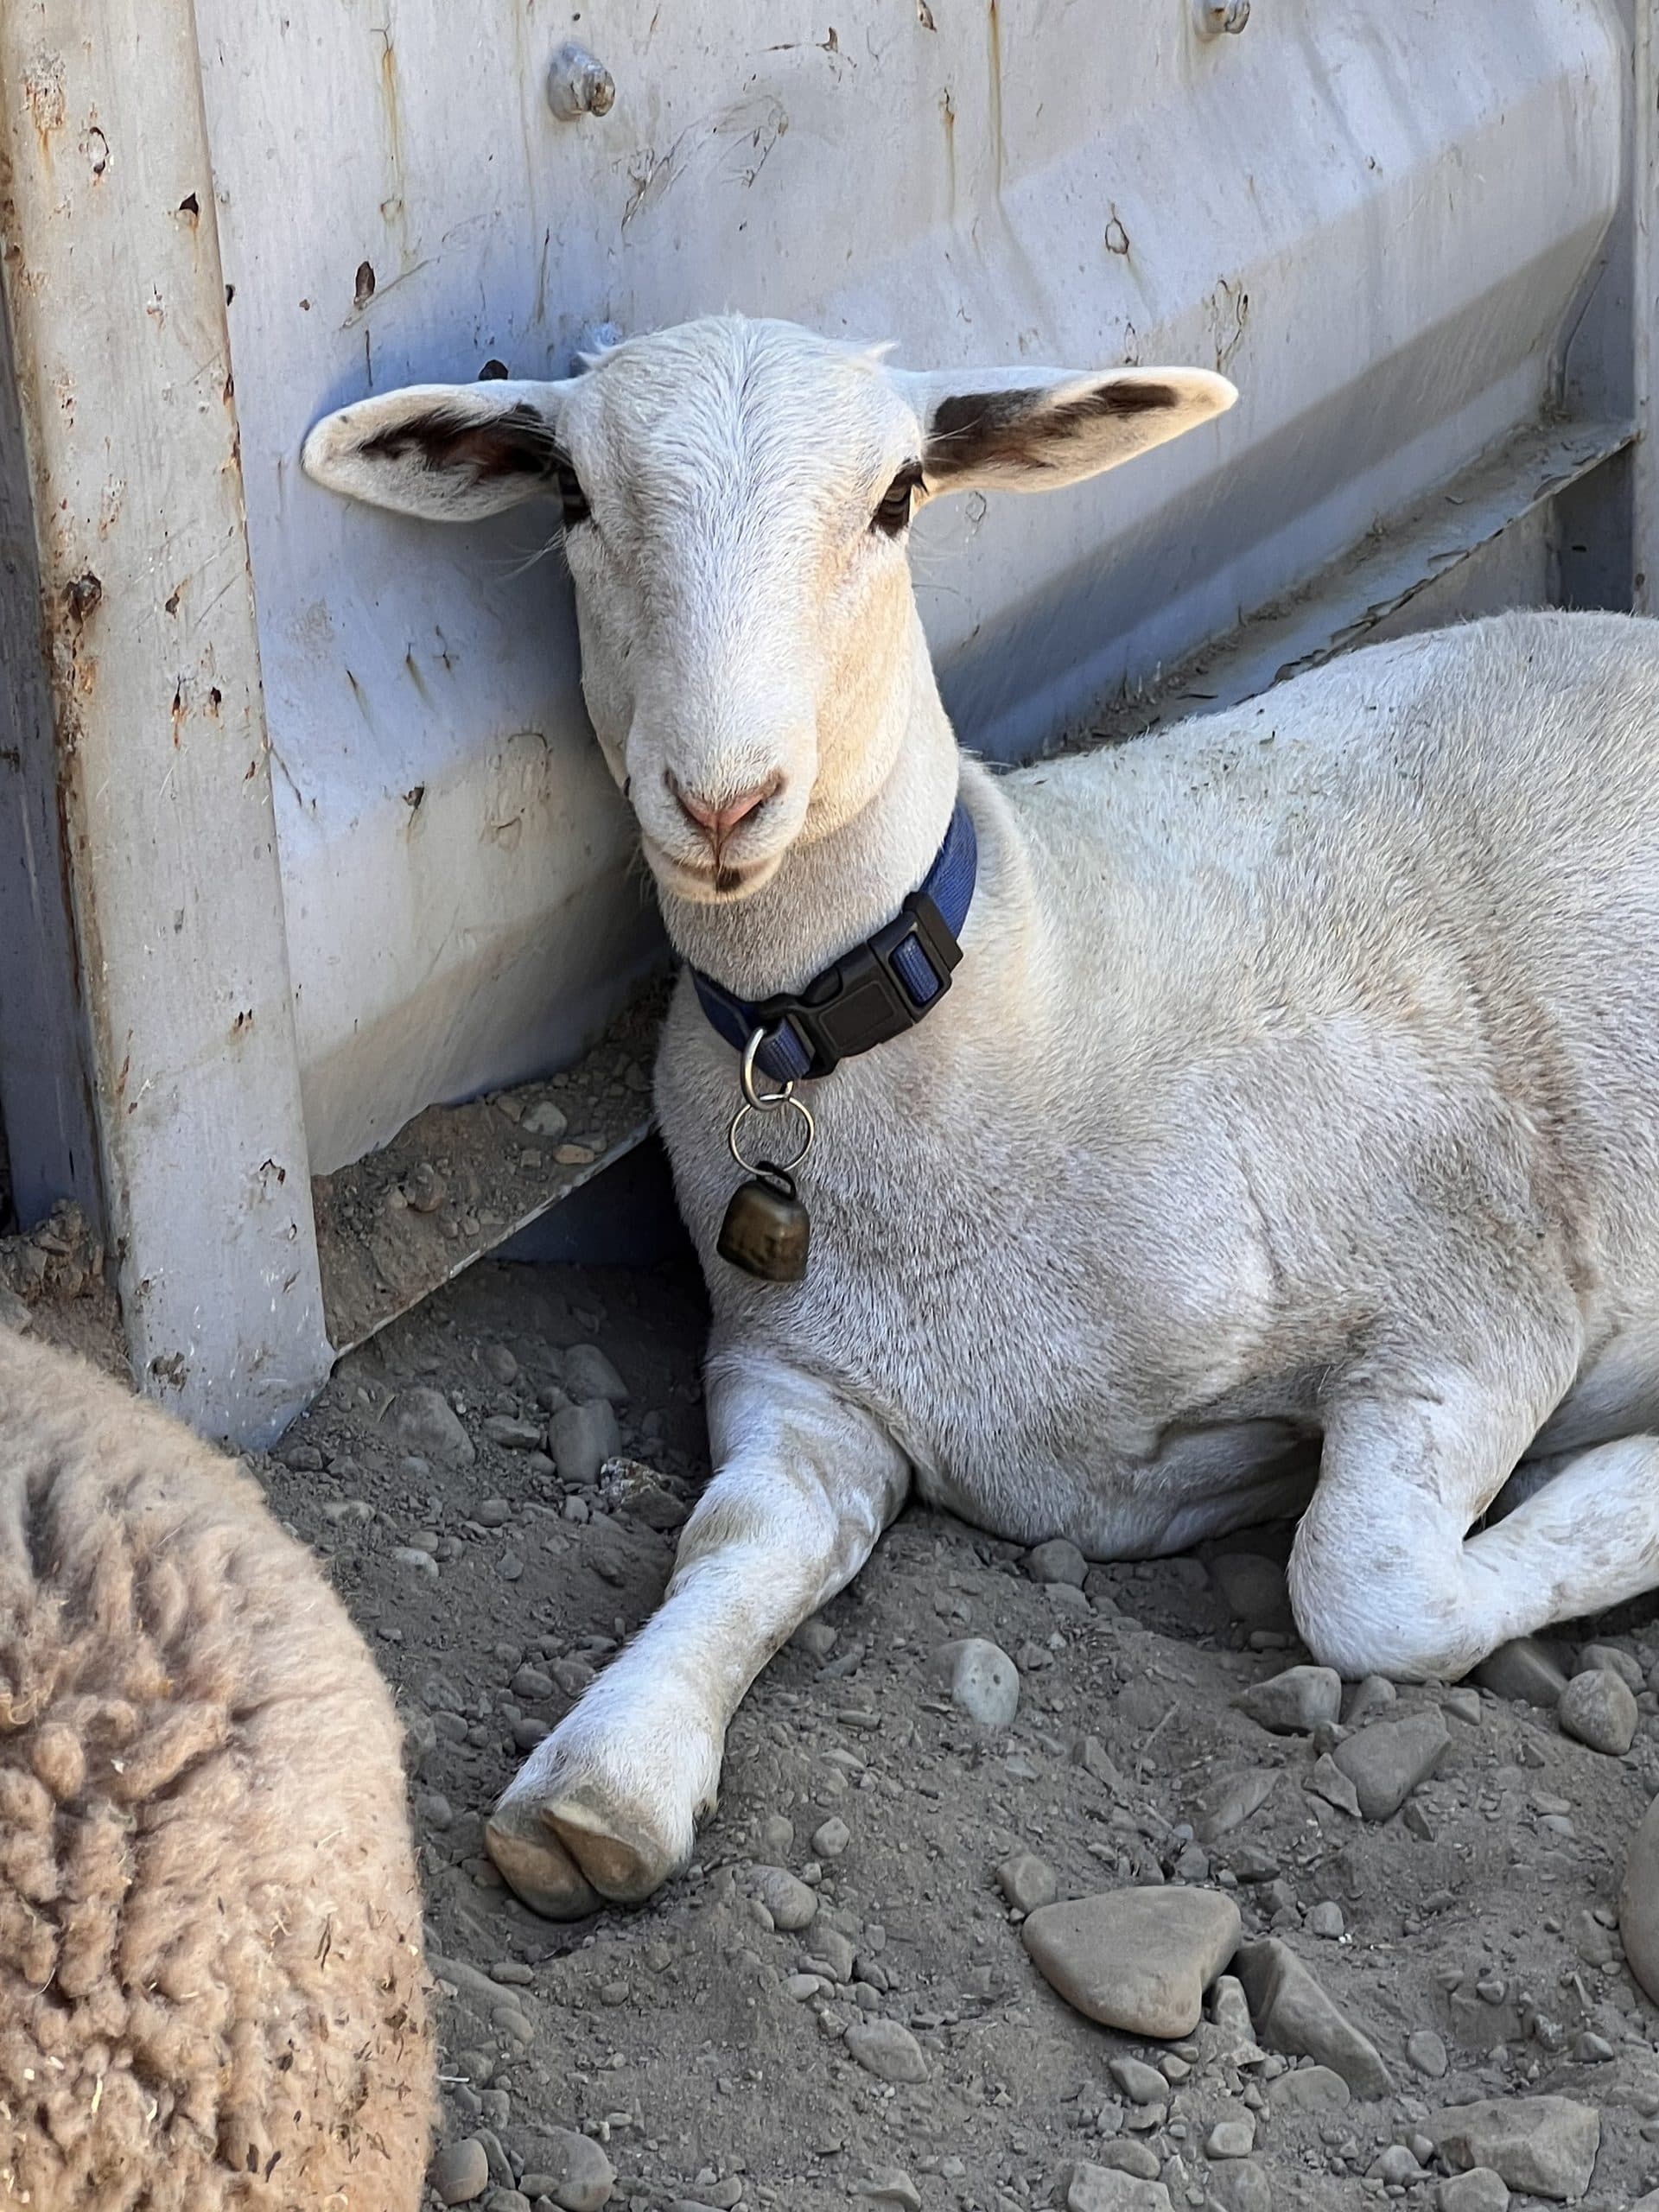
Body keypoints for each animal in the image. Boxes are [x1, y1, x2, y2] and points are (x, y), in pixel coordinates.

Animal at [304, 313, 1659, 1920]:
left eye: (898, 499)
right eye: (571, 494)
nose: (723, 798)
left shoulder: (1478, 1294)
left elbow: (1365, 1592)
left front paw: (1626, 1485)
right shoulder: (795, 1381)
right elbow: (736, 1539)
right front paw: (605, 1776)